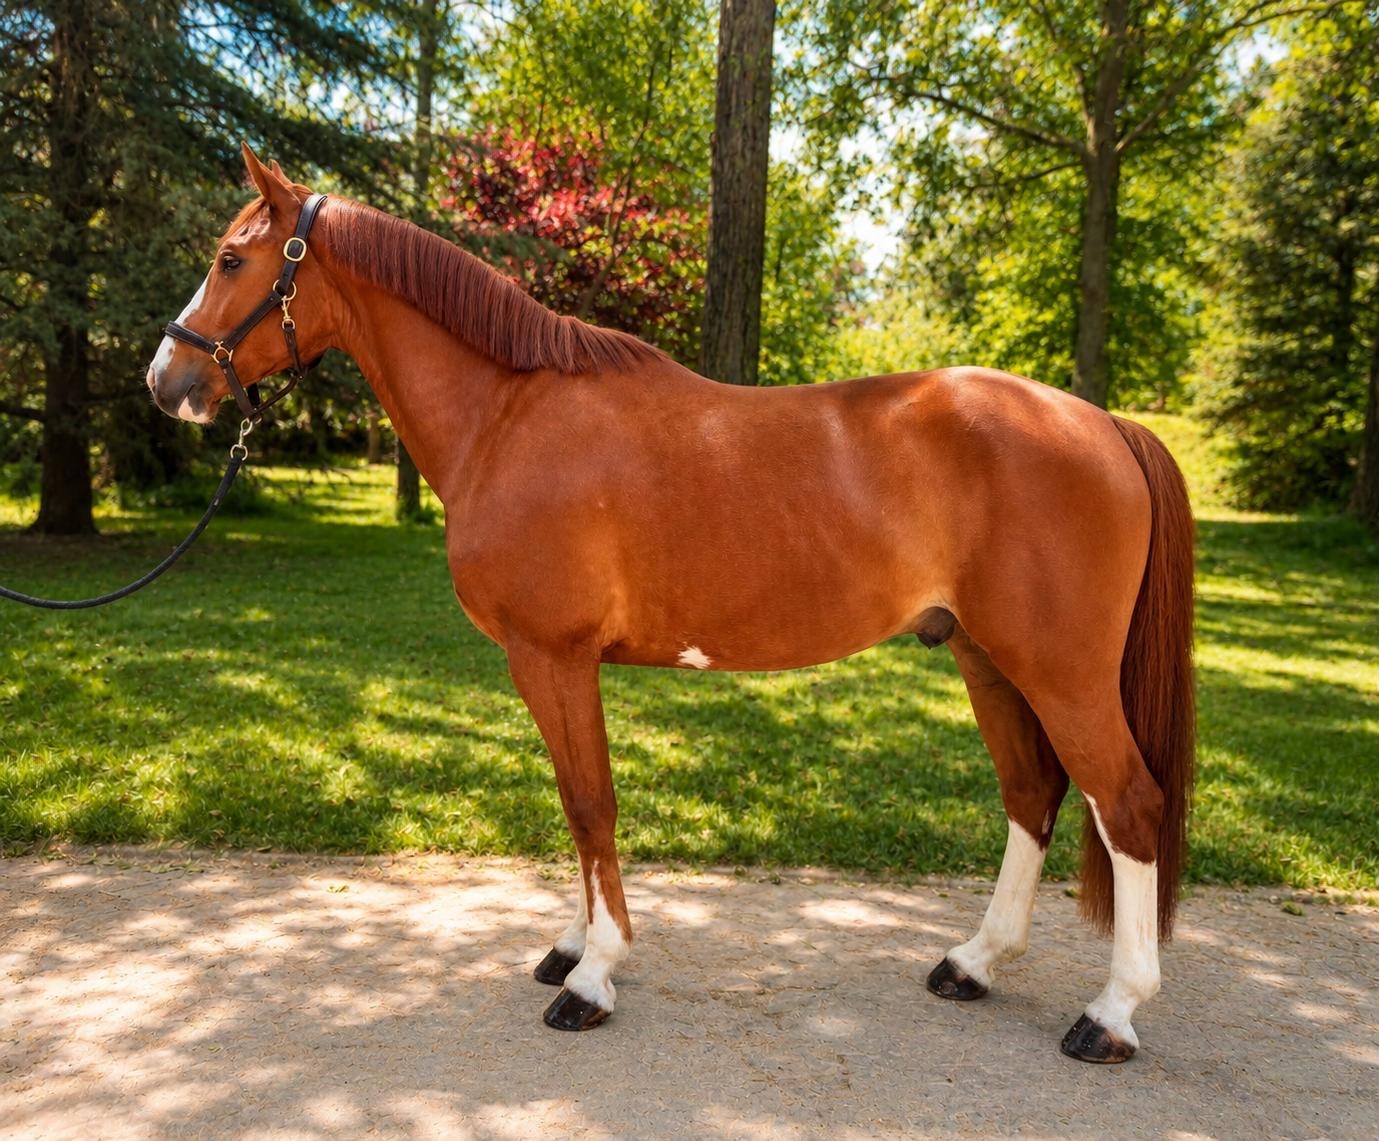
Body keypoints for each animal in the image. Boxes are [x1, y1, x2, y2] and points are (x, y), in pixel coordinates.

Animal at [146, 144, 1195, 1064]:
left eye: (231, 258)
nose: (167, 380)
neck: (507, 417)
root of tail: (1101, 422)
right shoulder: (550, 666)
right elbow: (575, 803)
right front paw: (574, 946)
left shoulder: (554, 656)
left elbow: (590, 803)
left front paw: (593, 975)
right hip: (986, 659)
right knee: (1033, 795)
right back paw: (973, 963)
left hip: (1060, 672)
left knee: (1125, 804)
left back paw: (1110, 1013)